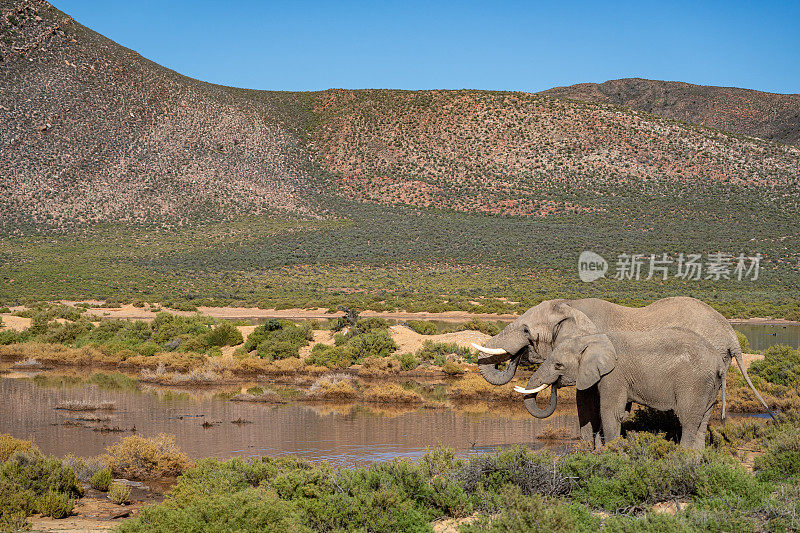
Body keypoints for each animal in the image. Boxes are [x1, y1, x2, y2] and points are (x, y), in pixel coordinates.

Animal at [516, 328, 728, 448]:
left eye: (558, 365)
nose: (555, 384)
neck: (591, 339)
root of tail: (719, 363)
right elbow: (614, 412)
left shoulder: (614, 375)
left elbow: (611, 412)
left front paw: (612, 453)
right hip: (709, 386)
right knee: (702, 423)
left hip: (694, 383)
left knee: (688, 421)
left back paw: (680, 460)